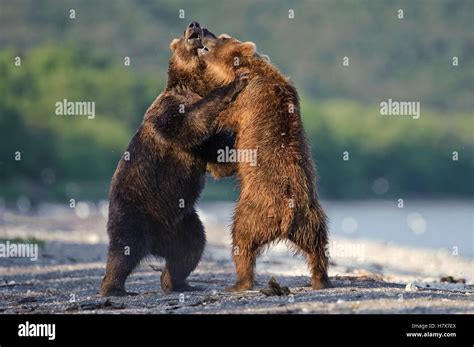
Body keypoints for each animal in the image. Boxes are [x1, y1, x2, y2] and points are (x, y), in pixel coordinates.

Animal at [101, 22, 248, 300]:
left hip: (183, 222)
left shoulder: (204, 144)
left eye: (206, 28)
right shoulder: (168, 110)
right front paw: (238, 82)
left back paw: (177, 282)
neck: (193, 85)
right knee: (124, 249)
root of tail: (156, 244)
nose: (194, 24)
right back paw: (114, 288)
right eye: (183, 33)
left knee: (191, 248)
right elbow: (187, 124)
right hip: (133, 208)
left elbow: (218, 156)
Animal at [198, 32, 332, 292]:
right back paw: (321, 279)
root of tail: (286, 215)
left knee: (241, 240)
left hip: (253, 211)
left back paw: (239, 283)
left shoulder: (245, 100)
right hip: (310, 219)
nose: (203, 31)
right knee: (318, 247)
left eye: (222, 37)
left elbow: (223, 116)